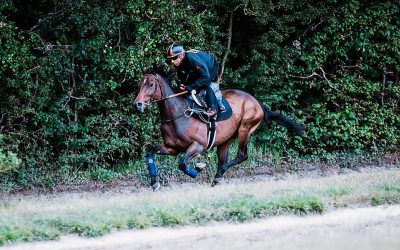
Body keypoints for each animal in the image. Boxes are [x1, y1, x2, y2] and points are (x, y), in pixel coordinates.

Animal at [133, 66, 304, 189]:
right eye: (139, 85)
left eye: (151, 84)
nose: (137, 104)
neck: (177, 115)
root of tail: (256, 101)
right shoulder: (171, 148)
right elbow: (150, 152)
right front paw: (154, 183)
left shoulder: (198, 145)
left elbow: (182, 163)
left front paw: (198, 169)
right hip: (226, 140)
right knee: (224, 159)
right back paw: (218, 177)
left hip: (245, 129)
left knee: (242, 156)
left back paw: (219, 173)